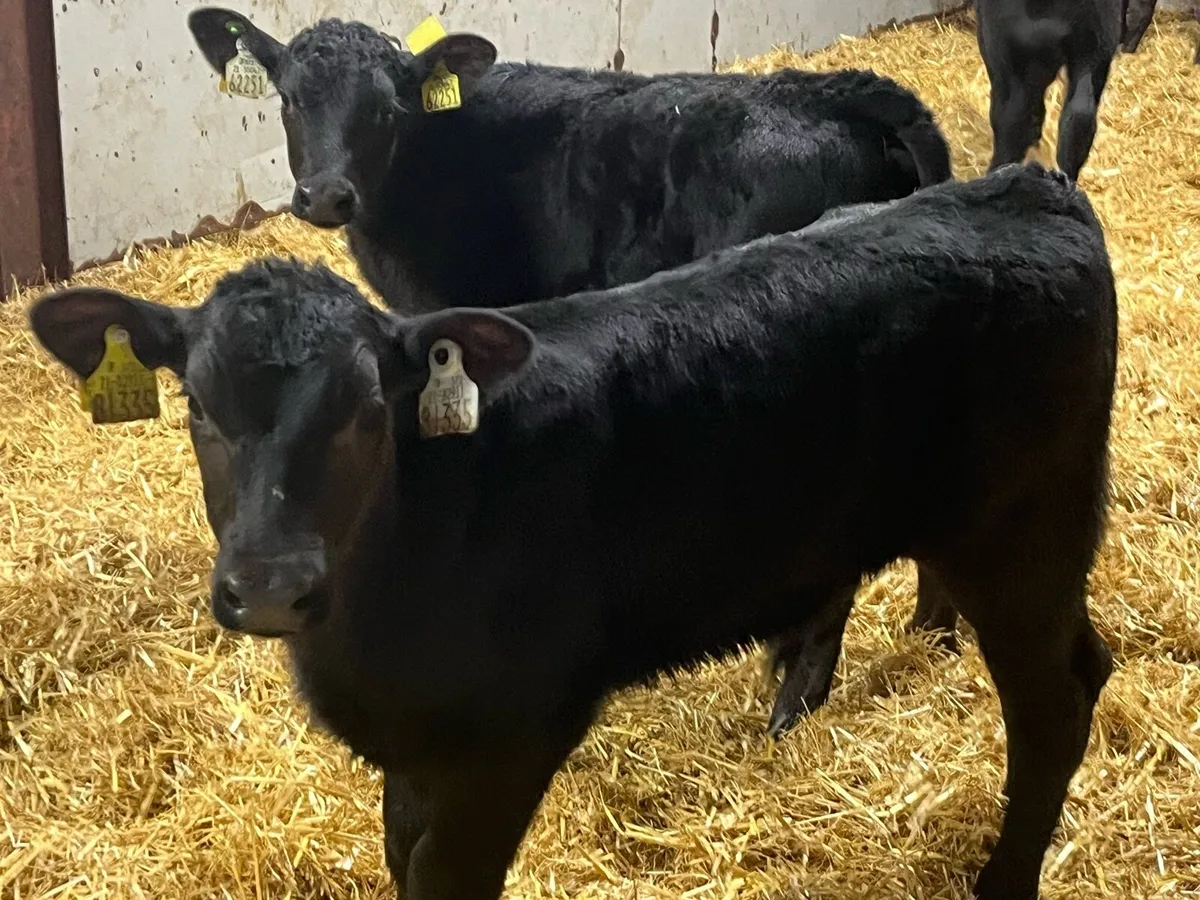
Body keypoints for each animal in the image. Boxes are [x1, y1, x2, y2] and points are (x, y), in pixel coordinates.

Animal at [30, 163, 1116, 900]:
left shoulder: (514, 732)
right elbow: (402, 857)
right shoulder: (417, 746)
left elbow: (446, 877)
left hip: (1025, 535)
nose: (268, 585)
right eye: (198, 406)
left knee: (1059, 699)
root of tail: (1023, 186)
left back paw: (1004, 878)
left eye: (367, 410)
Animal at [186, 7, 956, 732]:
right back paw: (929, 635)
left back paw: (795, 700)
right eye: (289, 99)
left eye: (387, 109)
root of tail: (845, 91)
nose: (325, 195)